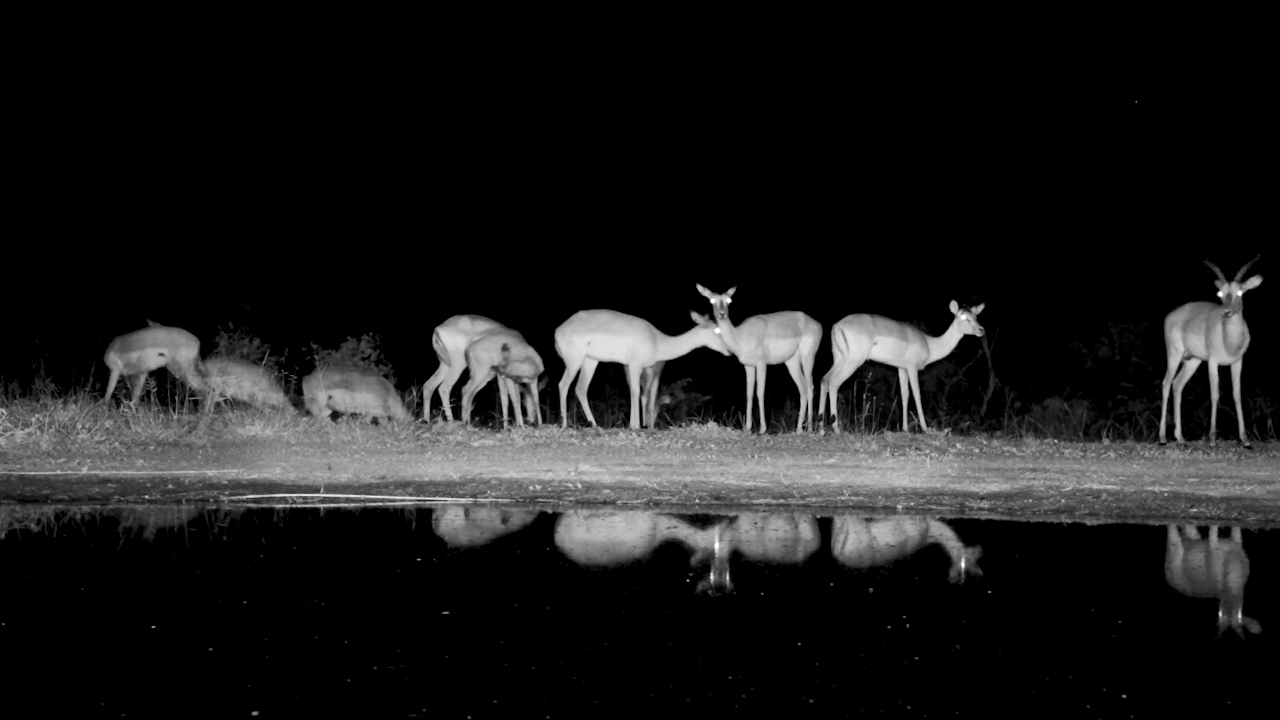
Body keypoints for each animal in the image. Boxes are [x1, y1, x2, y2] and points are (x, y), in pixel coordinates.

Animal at [554, 310, 729, 430]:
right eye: (717, 330)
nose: (729, 350)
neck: (658, 341)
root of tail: (558, 331)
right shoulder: (634, 365)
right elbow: (636, 392)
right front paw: (636, 426)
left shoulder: (640, 369)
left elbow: (638, 393)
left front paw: (635, 425)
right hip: (574, 362)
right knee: (563, 385)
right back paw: (564, 424)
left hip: (590, 361)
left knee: (581, 388)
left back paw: (595, 425)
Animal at [695, 285, 823, 433]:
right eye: (711, 300)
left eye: (729, 300)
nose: (722, 314)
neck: (740, 335)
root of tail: (817, 324)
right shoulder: (748, 366)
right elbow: (749, 394)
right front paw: (747, 427)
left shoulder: (762, 364)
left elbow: (760, 392)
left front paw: (762, 429)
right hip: (791, 362)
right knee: (803, 388)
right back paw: (802, 429)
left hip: (808, 358)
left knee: (810, 387)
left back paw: (806, 429)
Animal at [818, 301, 985, 434]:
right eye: (963, 317)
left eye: (976, 316)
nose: (981, 330)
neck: (929, 344)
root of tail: (838, 325)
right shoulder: (912, 367)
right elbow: (917, 394)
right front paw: (925, 429)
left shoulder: (901, 368)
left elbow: (904, 395)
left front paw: (905, 429)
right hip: (853, 361)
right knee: (834, 383)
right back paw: (836, 429)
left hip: (839, 359)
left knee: (824, 380)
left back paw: (820, 429)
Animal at [1159, 256, 1263, 447]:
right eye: (1220, 294)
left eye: (1240, 292)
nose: (1226, 312)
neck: (1229, 341)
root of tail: (1170, 315)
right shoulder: (1213, 362)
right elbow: (1214, 395)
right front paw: (1213, 438)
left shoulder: (1238, 362)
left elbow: (1237, 395)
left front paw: (1245, 440)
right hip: (1174, 355)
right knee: (1166, 383)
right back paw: (1162, 437)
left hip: (1192, 361)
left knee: (1177, 385)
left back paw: (1180, 438)